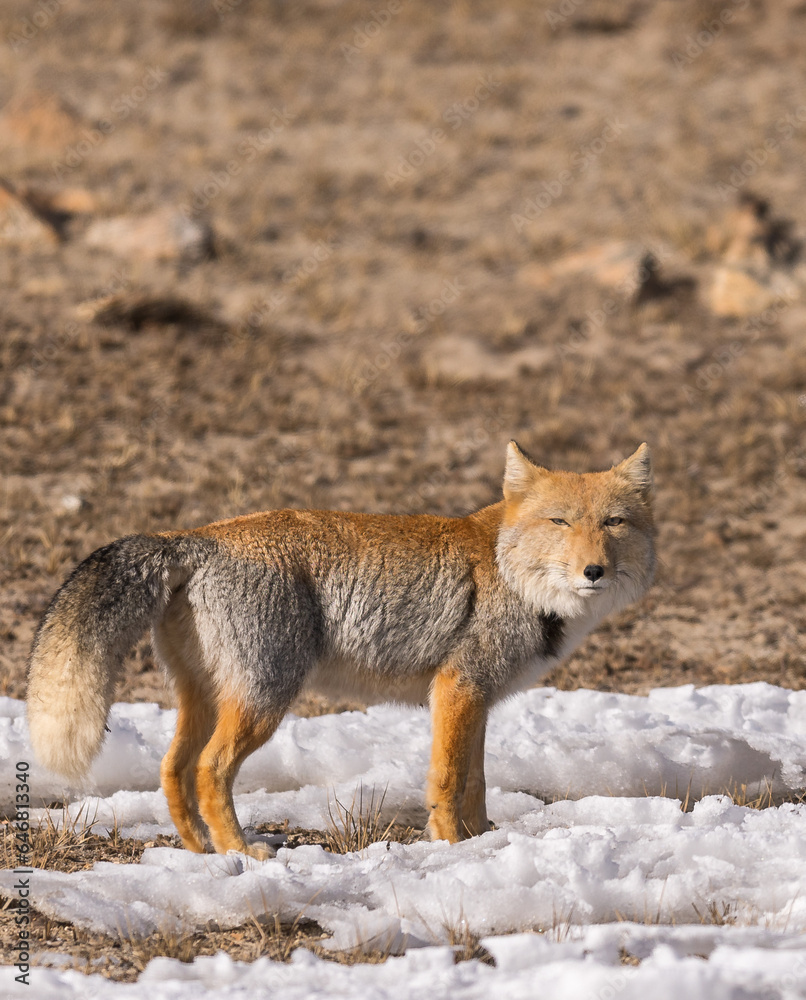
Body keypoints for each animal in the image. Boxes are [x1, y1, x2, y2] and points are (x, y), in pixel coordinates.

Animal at [27, 441, 655, 859]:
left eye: (613, 523)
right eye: (559, 521)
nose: (593, 571)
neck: (511, 574)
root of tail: (197, 536)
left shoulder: (475, 700)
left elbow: (474, 781)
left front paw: (482, 842)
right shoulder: (458, 689)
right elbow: (448, 780)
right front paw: (452, 846)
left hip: (204, 700)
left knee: (172, 768)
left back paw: (203, 851)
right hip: (265, 701)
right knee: (209, 770)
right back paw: (240, 852)